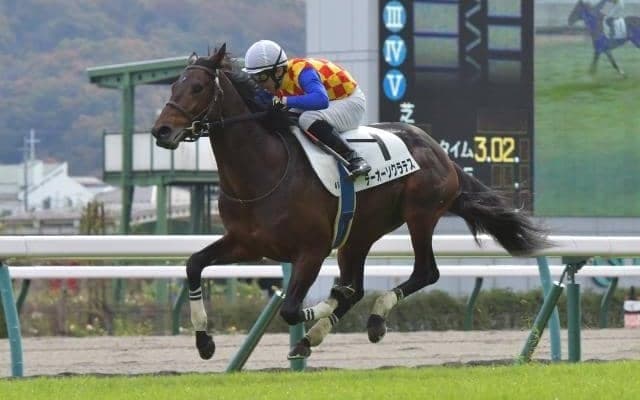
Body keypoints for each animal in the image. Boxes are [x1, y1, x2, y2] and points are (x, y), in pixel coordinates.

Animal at [151, 44, 550, 361]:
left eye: (198, 87)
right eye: (173, 85)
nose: (161, 131)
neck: (263, 170)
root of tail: (441, 152)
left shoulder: (311, 250)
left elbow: (292, 310)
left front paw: (323, 306)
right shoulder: (247, 243)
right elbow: (194, 264)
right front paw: (204, 341)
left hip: (420, 214)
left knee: (424, 273)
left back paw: (372, 318)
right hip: (358, 234)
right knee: (359, 286)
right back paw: (317, 332)